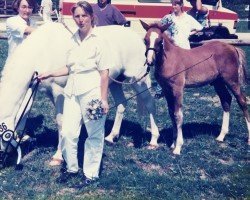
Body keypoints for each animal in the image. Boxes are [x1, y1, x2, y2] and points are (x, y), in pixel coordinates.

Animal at [0, 21, 160, 162]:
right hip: (115, 82)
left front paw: (58, 156)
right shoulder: (36, 86)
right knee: (121, 104)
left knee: (150, 104)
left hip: (138, 80)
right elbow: (24, 112)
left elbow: (61, 121)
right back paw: (111, 137)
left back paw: (153, 140)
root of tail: (138, 39)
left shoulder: (59, 92)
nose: (3, 158)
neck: (43, 51)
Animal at [141, 20, 250, 155]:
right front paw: (173, 143)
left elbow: (178, 115)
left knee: (242, 101)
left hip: (232, 80)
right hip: (218, 82)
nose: (149, 61)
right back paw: (221, 136)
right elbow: (171, 113)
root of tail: (233, 47)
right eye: (145, 40)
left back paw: (248, 138)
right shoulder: (166, 90)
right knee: (226, 100)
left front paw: (178, 147)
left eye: (160, 40)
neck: (169, 60)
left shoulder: (178, 89)